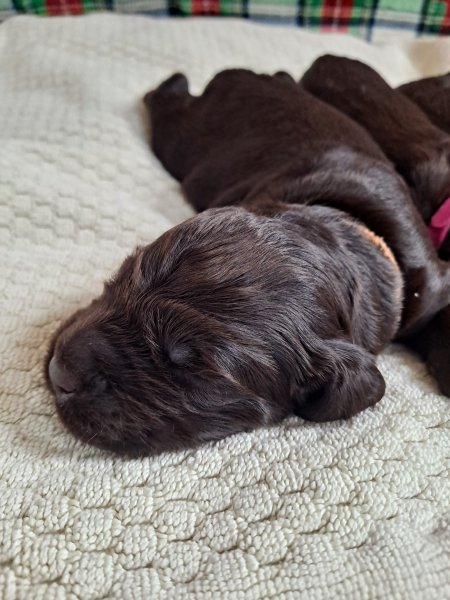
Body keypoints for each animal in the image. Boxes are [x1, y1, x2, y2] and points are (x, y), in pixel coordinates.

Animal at [45, 69, 450, 454]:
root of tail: (251, 75)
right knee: (167, 96)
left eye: (195, 369)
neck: (347, 238)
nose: (59, 372)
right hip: (182, 135)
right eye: (124, 272)